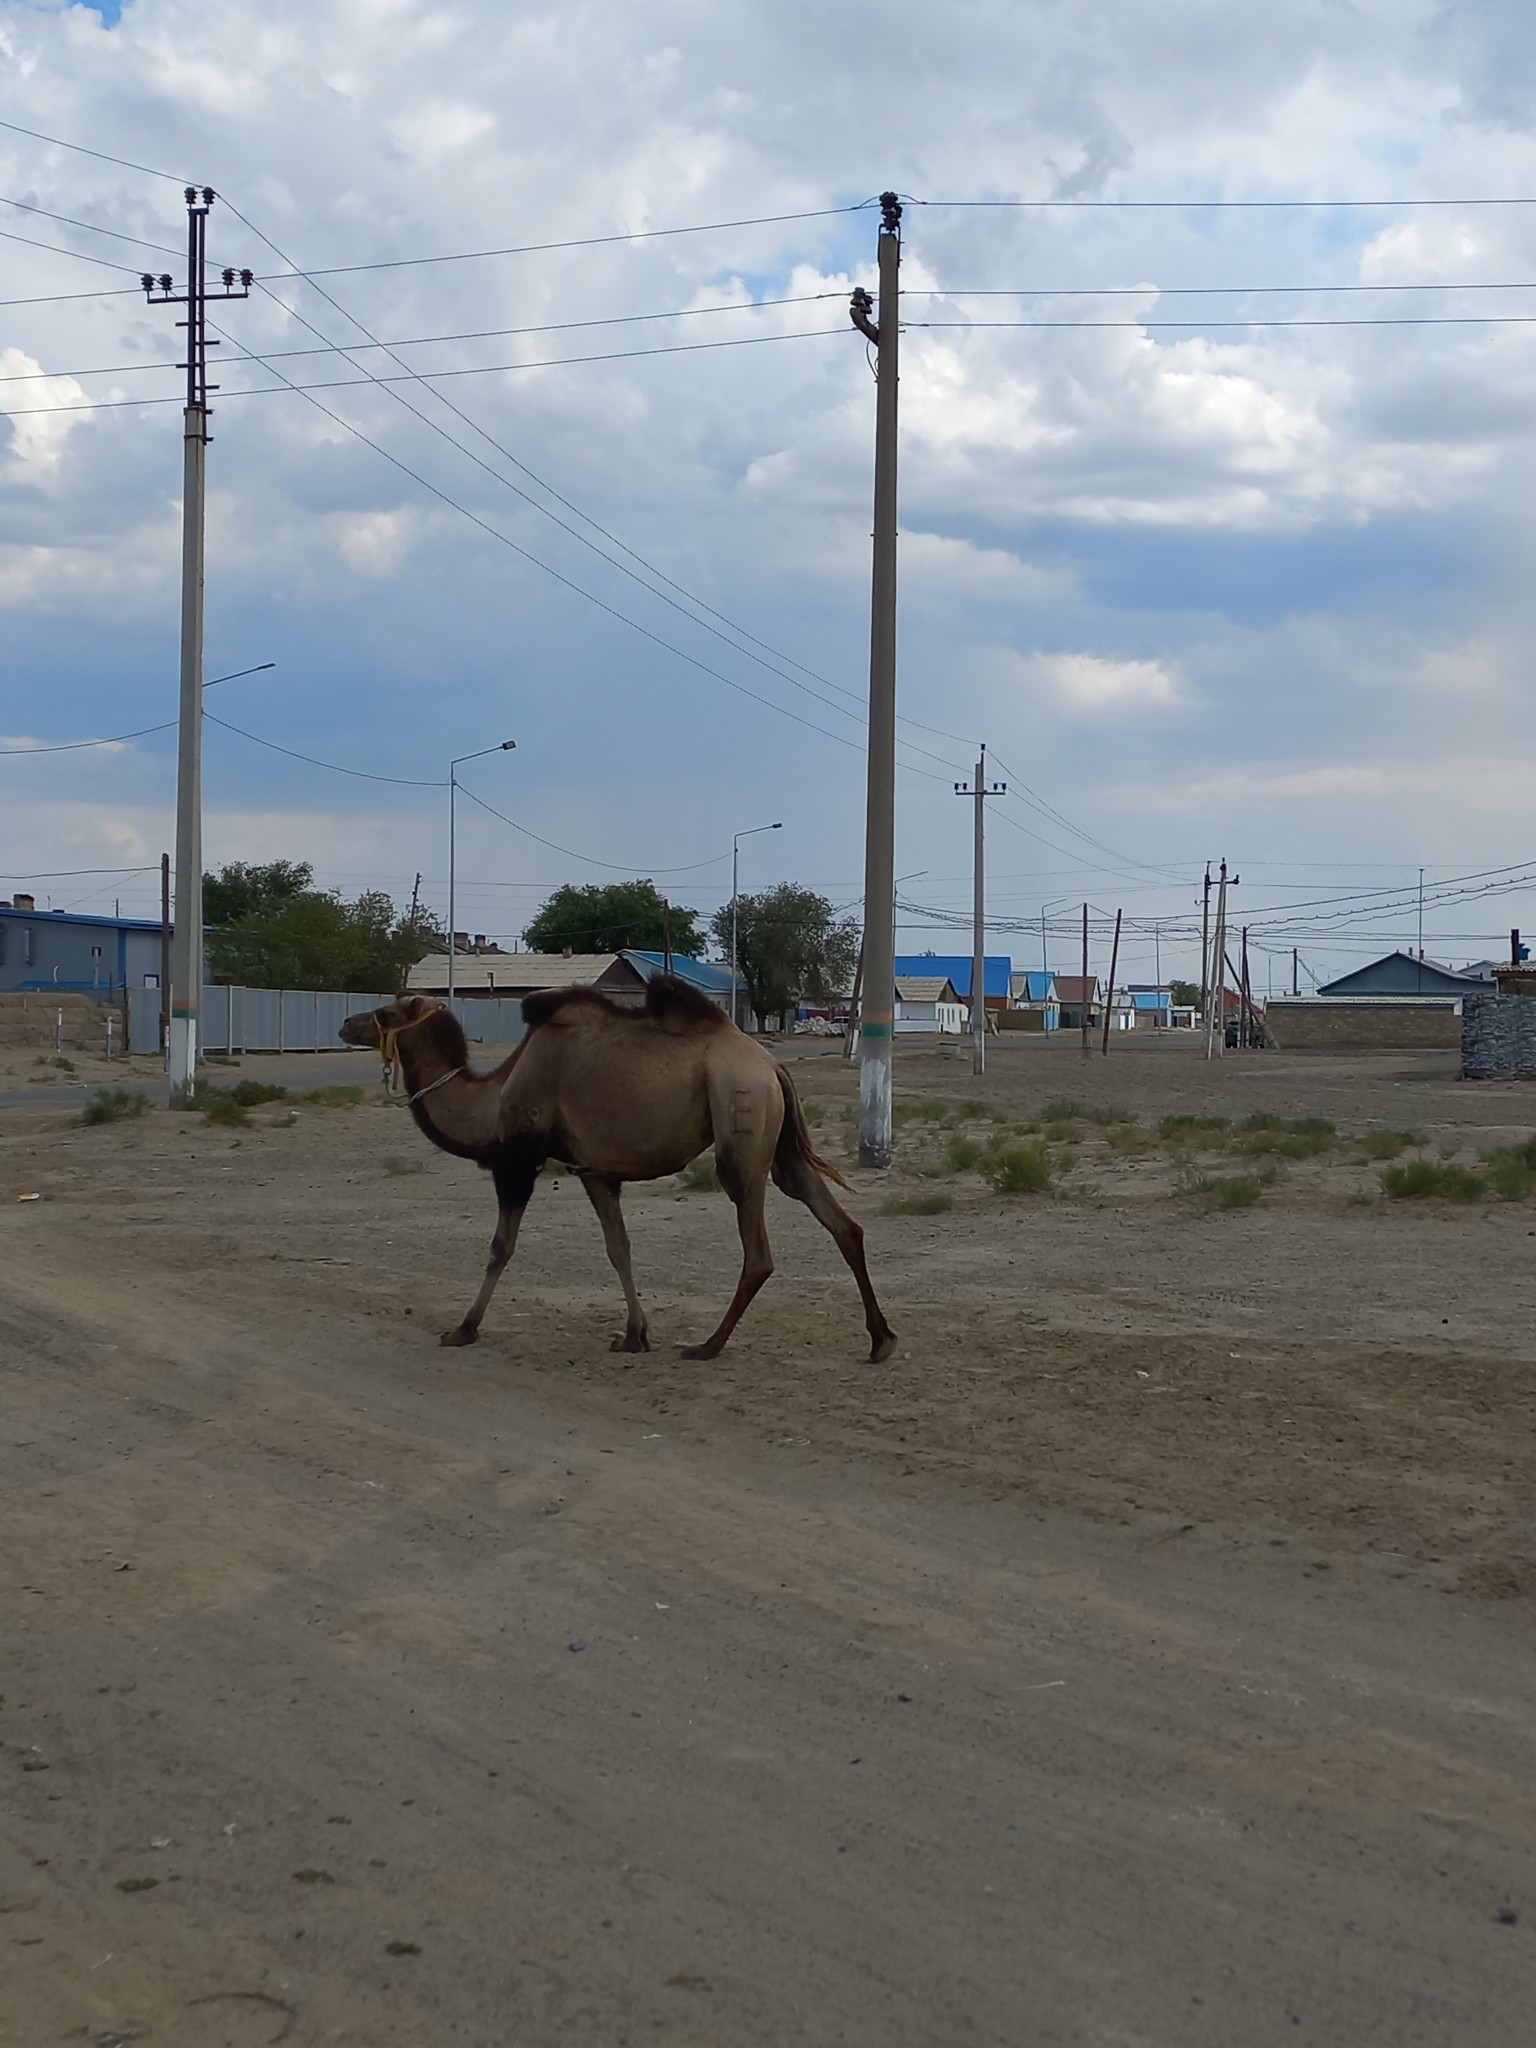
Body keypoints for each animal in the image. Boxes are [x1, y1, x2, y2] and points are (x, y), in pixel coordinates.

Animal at [331, 974, 897, 1359]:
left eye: (387, 1013)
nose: (344, 1022)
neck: (493, 1098)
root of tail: (773, 1065)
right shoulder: (595, 1169)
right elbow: (618, 1247)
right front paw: (633, 1335)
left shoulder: (519, 1158)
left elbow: (500, 1248)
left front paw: (462, 1329)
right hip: (780, 1145)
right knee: (842, 1224)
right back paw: (881, 1339)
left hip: (741, 1126)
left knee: (758, 1250)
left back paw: (707, 1345)